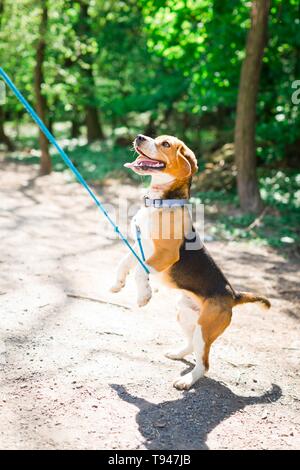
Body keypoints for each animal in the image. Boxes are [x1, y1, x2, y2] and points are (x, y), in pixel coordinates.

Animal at [111, 134, 270, 392]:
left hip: (206, 328)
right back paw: (178, 353)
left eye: (165, 144)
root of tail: (232, 295)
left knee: (204, 363)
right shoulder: (140, 245)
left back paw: (187, 381)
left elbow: (140, 270)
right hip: (185, 314)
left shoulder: (166, 255)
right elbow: (124, 263)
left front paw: (144, 296)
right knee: (192, 346)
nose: (139, 137)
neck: (161, 203)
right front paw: (116, 284)